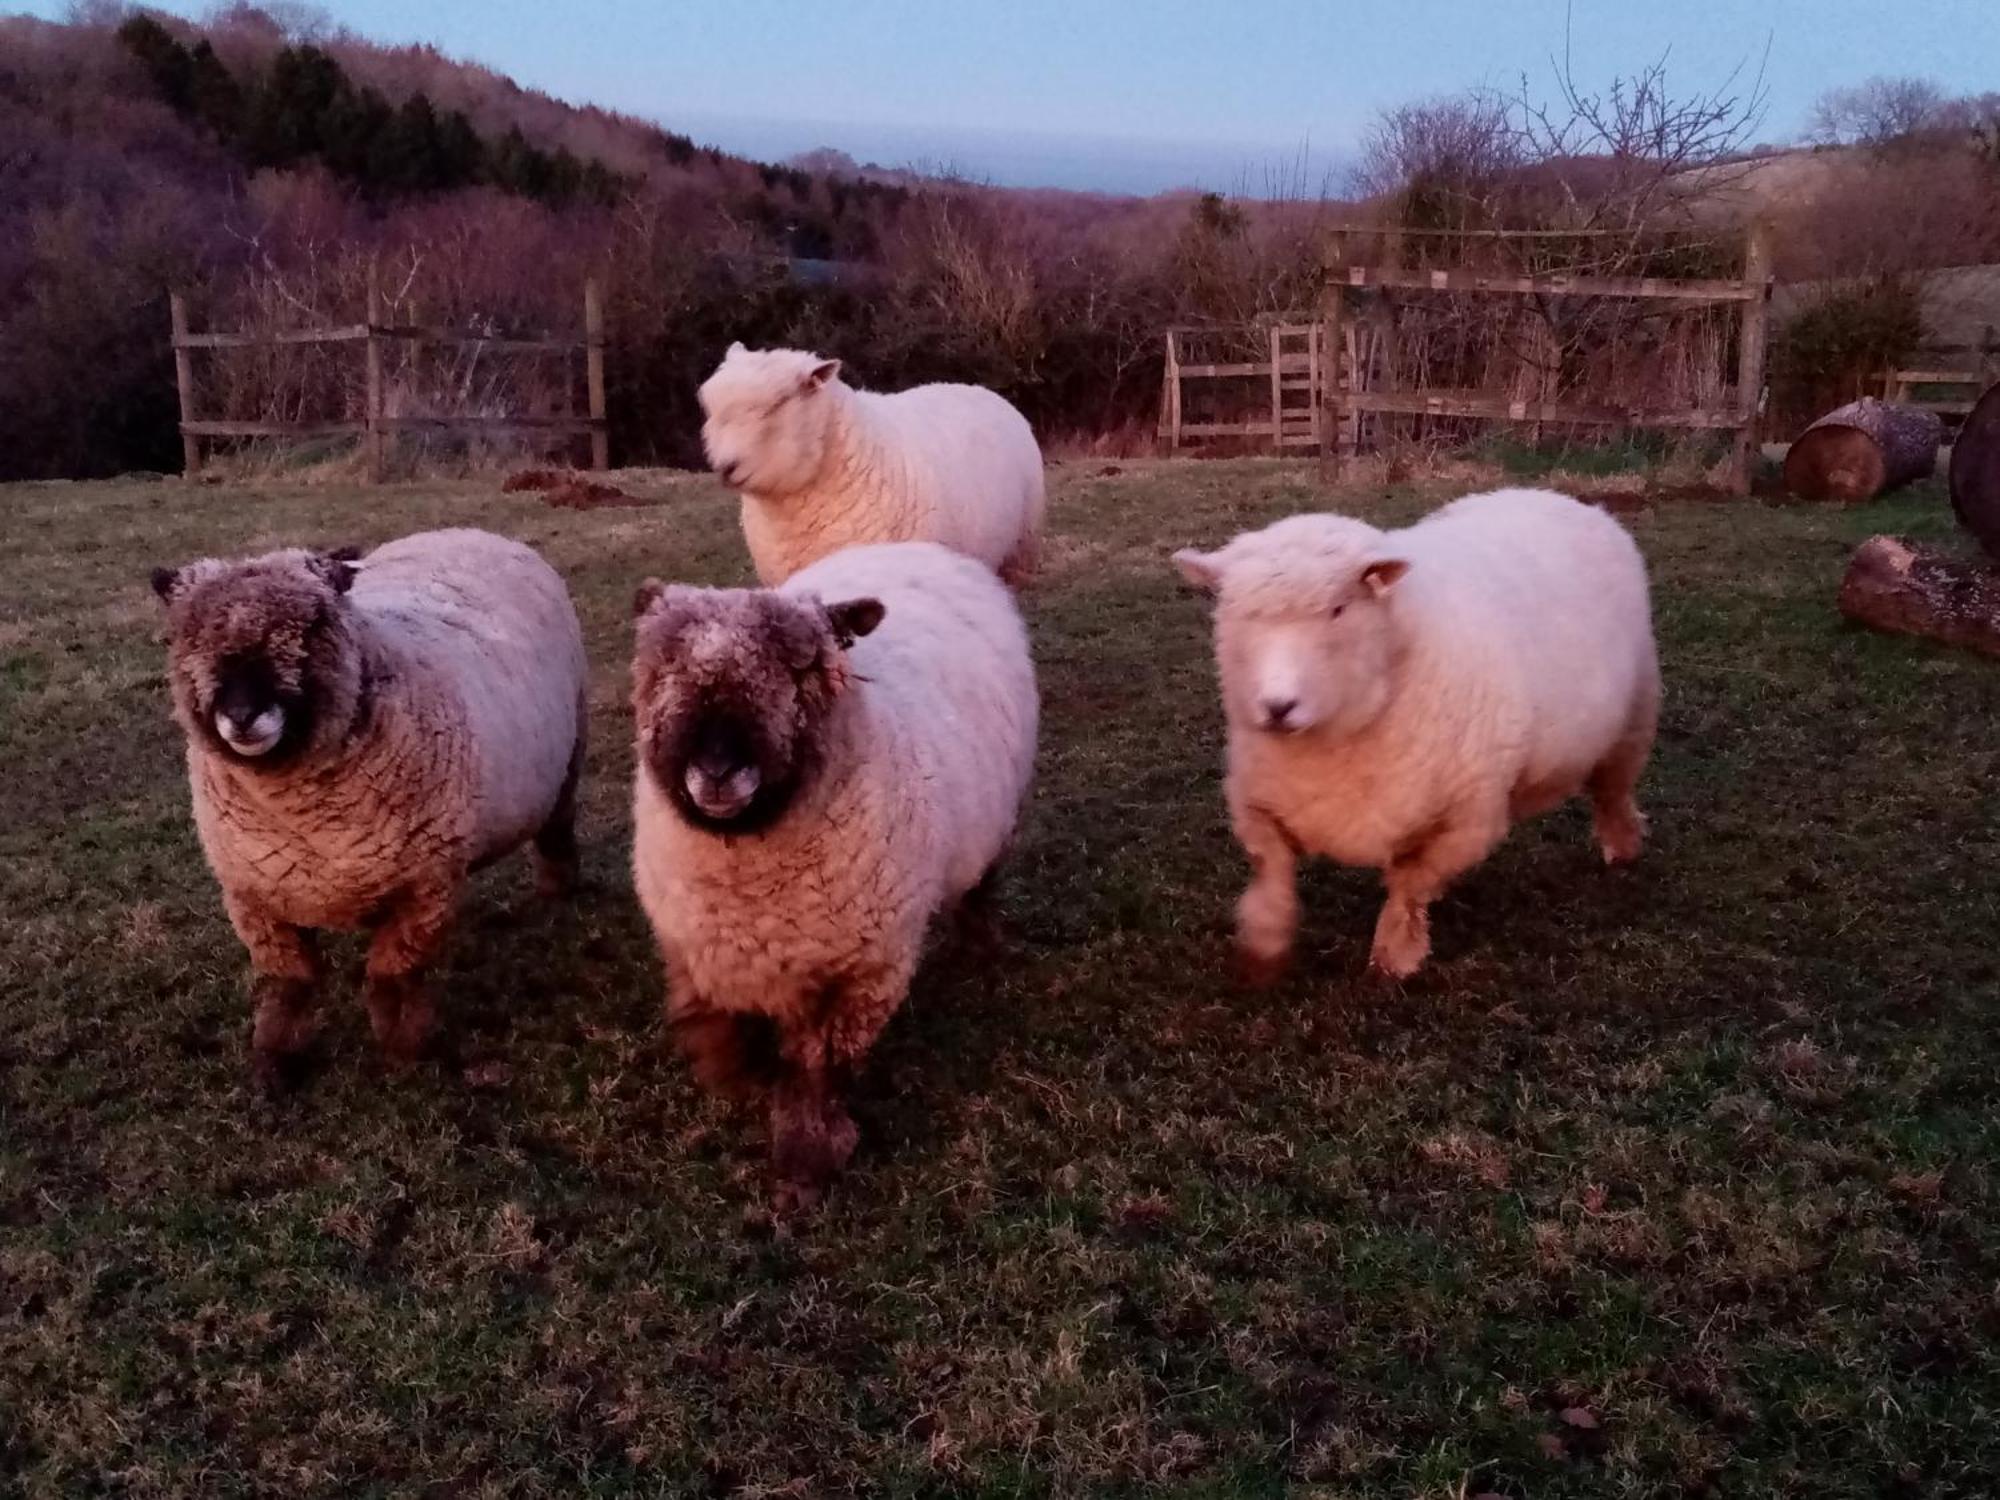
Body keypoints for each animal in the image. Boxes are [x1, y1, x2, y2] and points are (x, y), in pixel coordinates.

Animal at [150, 528, 584, 1080]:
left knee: (557, 829)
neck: (300, 812)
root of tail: (464, 530)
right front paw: (275, 1058)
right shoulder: (252, 896)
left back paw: (558, 888)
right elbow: (289, 983)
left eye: (314, 624)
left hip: (570, 757)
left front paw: (402, 1047)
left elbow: (393, 972)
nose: (243, 714)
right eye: (182, 635)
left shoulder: (424, 889)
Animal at [632, 540, 1040, 1208]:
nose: (716, 769)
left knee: (981, 888)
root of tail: (913, 545)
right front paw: (742, 1079)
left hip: (994, 826)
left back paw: (981, 946)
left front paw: (807, 1162)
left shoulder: (861, 974)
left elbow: (815, 1067)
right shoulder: (699, 952)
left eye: (800, 668)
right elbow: (727, 1038)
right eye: (664, 666)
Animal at [1168, 490, 1656, 988]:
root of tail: (1556, 497)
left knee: (1613, 794)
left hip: (1632, 722)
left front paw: (1394, 956)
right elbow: (1272, 870)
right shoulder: (1259, 801)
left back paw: (1623, 848)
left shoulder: (1463, 820)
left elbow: (1410, 886)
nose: (1277, 706)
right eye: (1237, 613)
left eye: (1338, 609)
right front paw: (1264, 944)